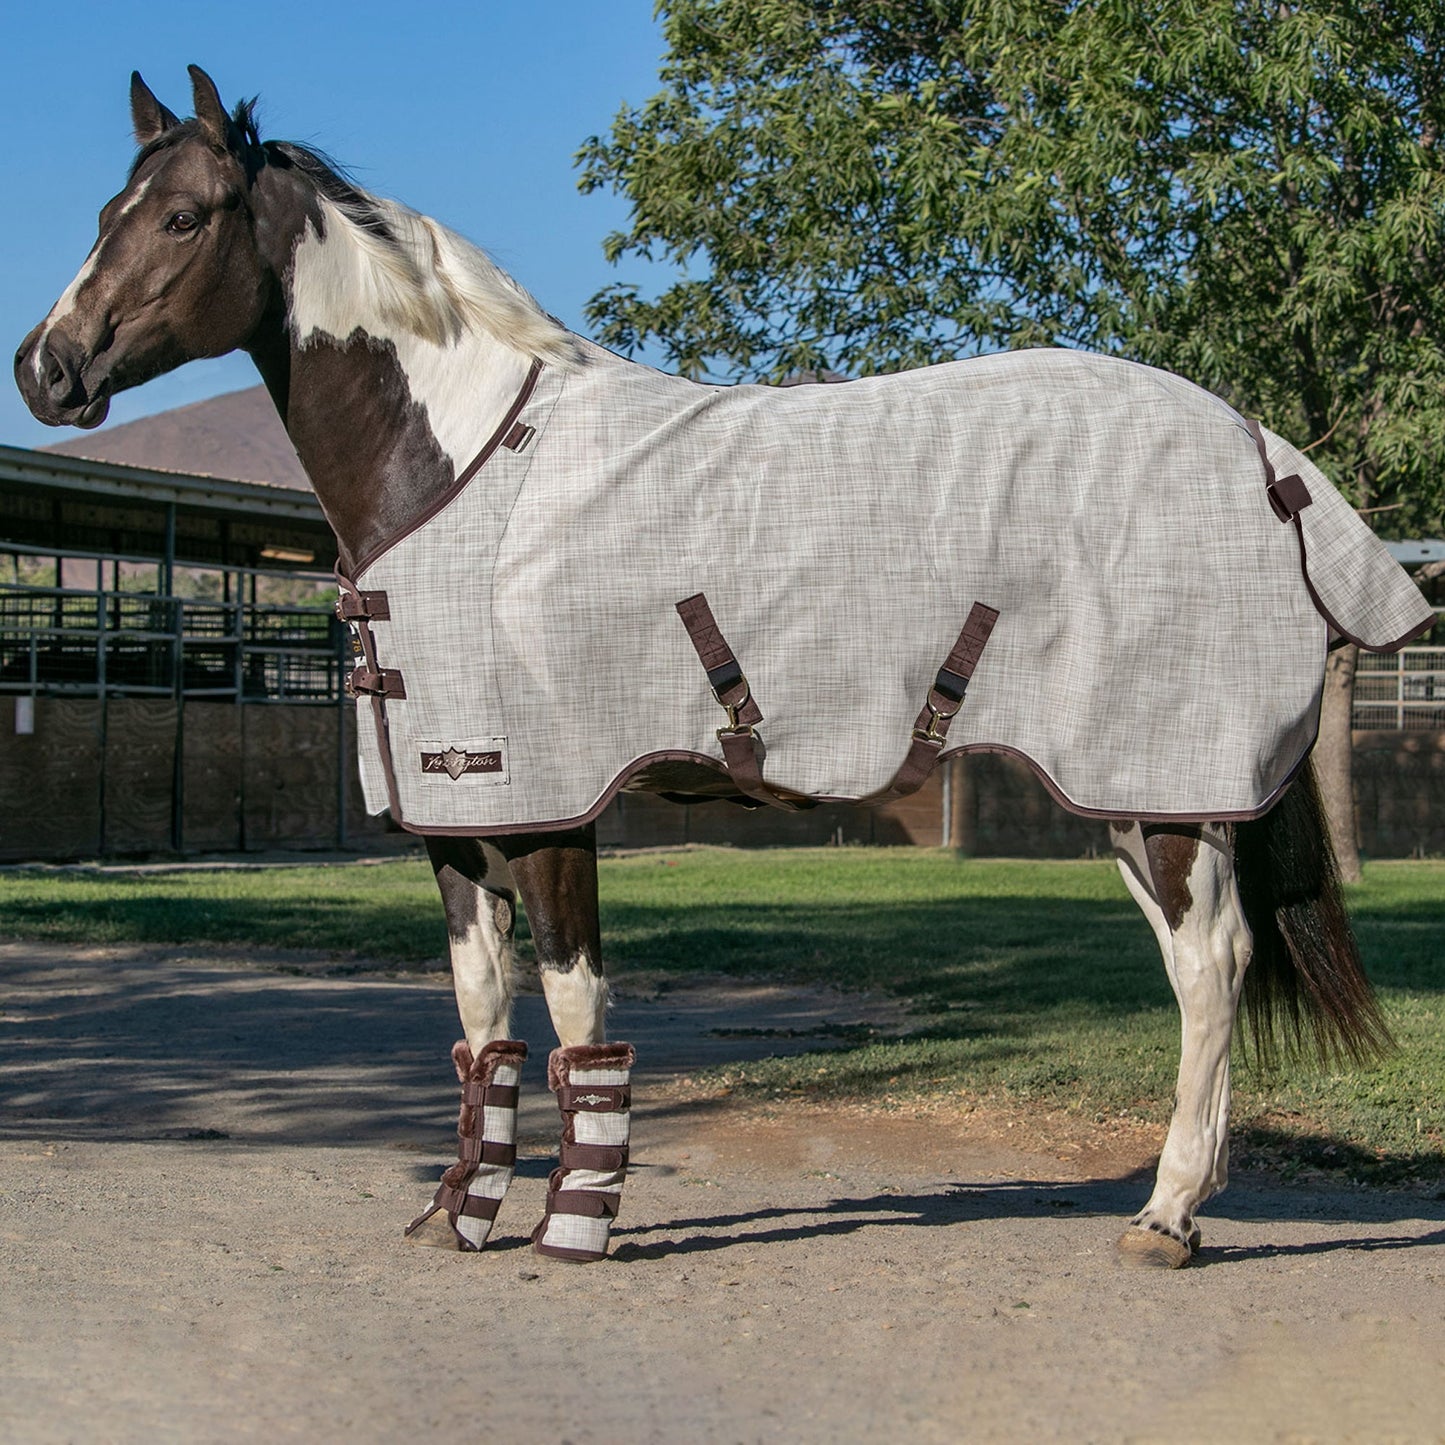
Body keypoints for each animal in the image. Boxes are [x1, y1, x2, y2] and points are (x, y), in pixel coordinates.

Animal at [16, 67, 1430, 1269]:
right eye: (105, 212)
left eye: (183, 216)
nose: (47, 368)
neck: (464, 471)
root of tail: (1259, 450)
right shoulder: (455, 819)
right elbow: (480, 1024)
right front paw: (458, 1211)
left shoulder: (552, 809)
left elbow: (576, 1010)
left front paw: (574, 1222)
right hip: (1127, 794)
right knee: (1202, 964)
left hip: (1161, 787)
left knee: (1210, 966)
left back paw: (1168, 1214)